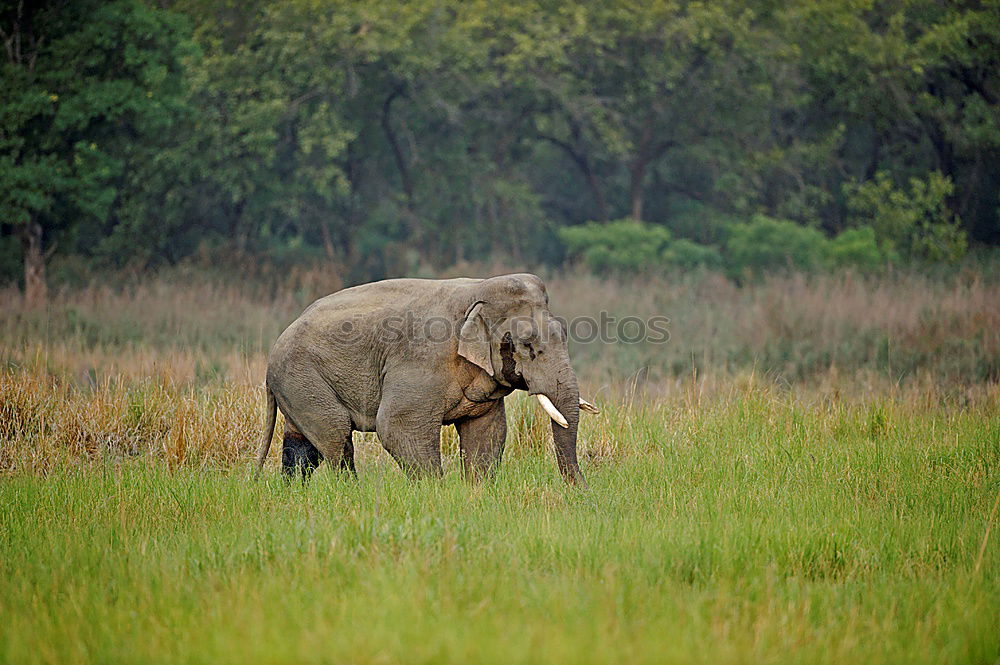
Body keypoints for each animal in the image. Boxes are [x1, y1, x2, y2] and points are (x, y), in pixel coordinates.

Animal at [258, 272, 596, 486]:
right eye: (526, 345)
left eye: (564, 334)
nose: (584, 494)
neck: (477, 291)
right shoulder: (421, 358)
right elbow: (397, 426)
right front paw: (437, 494)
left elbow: (487, 432)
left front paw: (477, 493)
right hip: (302, 377)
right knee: (335, 436)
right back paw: (351, 493)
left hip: (297, 385)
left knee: (300, 448)